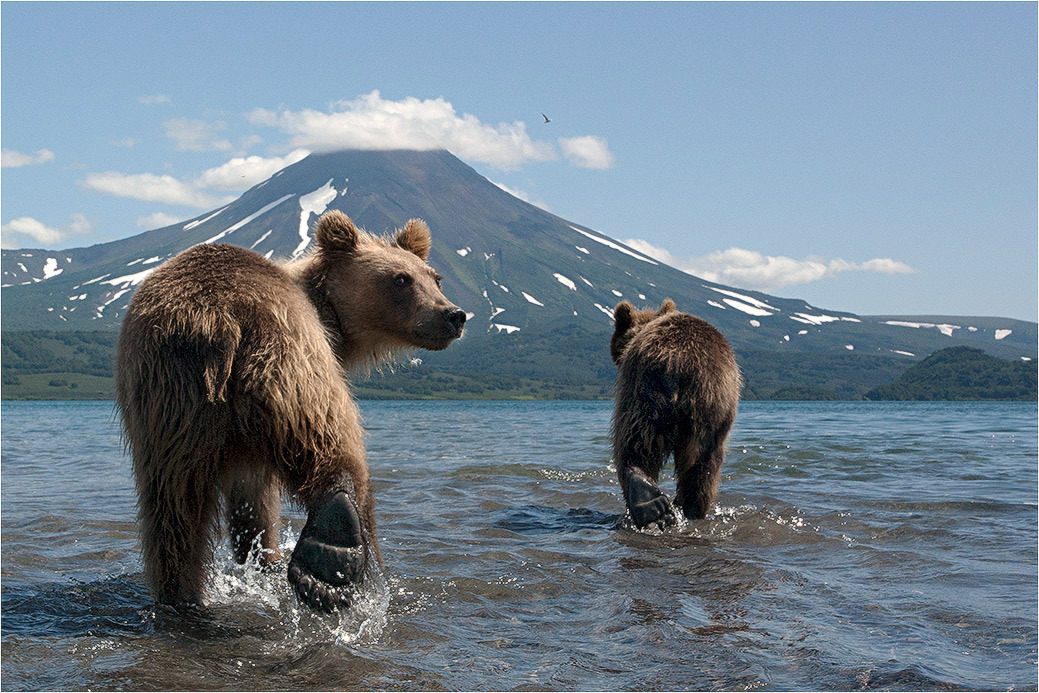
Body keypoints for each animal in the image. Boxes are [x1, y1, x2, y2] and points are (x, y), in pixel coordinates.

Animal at [114, 211, 467, 610]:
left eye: (434, 277)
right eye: (401, 278)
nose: (453, 314)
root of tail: (219, 318)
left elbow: (249, 503)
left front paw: (258, 558)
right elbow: (260, 495)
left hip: (170, 397)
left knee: (173, 511)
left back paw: (180, 595)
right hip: (290, 359)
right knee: (333, 443)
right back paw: (335, 557)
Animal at [610, 299, 743, 531]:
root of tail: (681, 363)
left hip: (643, 389)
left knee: (631, 442)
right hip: (713, 409)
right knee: (705, 468)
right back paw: (678, 508)